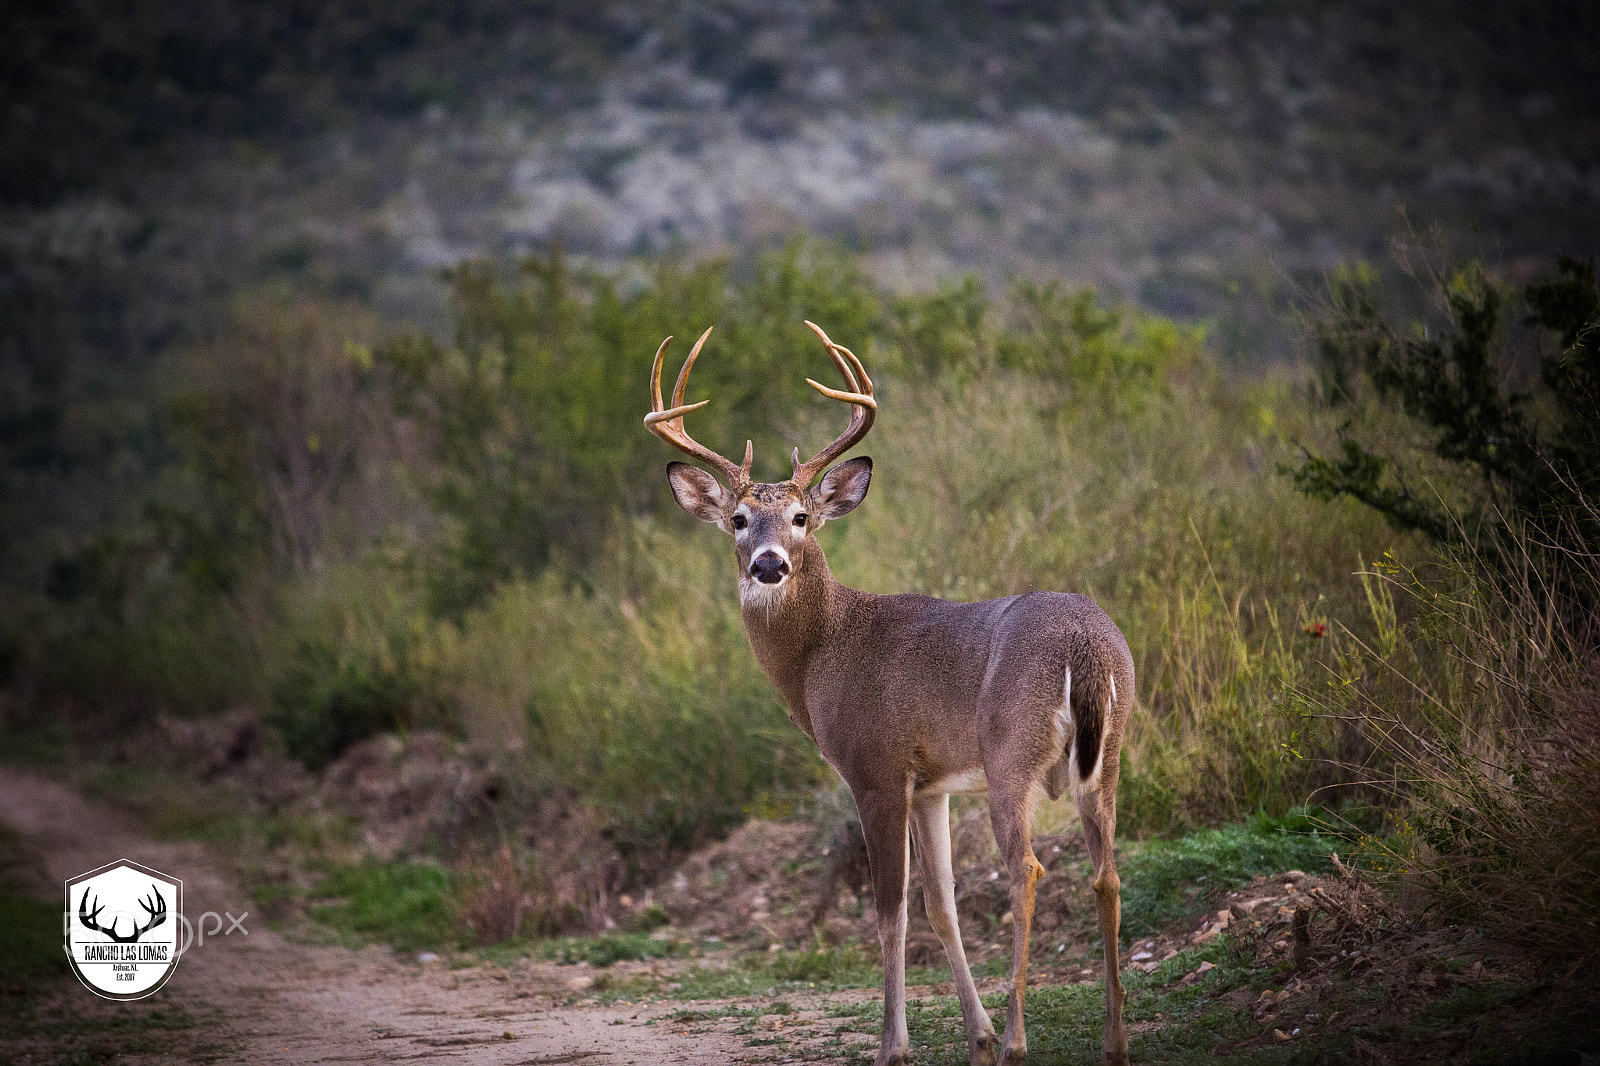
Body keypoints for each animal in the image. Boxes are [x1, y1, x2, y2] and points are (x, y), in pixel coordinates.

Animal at [645, 323, 1134, 1066]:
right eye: (737, 518)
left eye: (800, 516)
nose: (769, 564)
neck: (824, 653)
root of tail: (1087, 647)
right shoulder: (929, 783)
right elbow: (940, 904)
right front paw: (974, 1034)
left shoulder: (874, 767)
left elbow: (889, 908)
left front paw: (895, 1044)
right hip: (1109, 754)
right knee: (1106, 873)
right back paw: (1112, 1040)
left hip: (1010, 753)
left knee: (1026, 868)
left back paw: (1019, 1039)